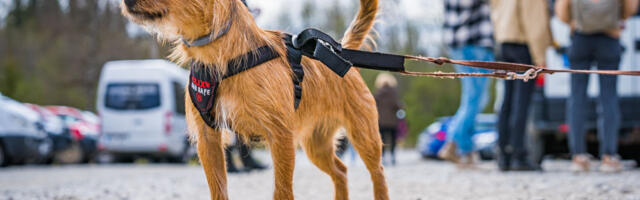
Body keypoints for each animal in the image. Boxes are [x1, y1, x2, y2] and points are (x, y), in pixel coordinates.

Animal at [122, 0, 388, 199]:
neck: (222, 58)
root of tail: (340, 53)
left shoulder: (280, 136)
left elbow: (282, 190)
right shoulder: (208, 139)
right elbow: (218, 190)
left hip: (364, 137)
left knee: (378, 173)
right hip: (317, 145)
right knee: (341, 171)